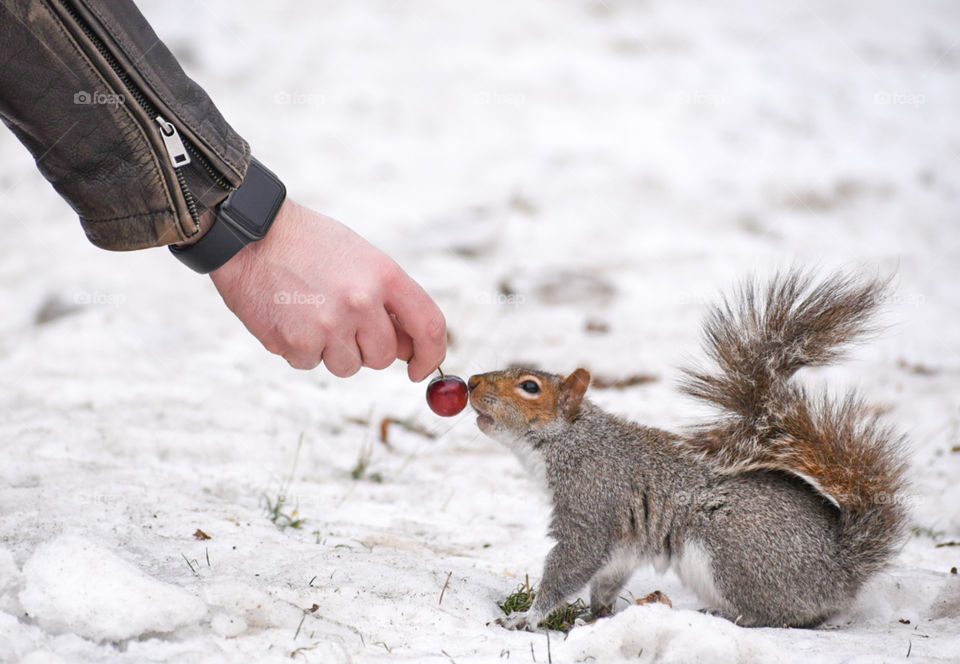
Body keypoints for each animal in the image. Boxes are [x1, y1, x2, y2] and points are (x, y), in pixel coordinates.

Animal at [468, 271, 908, 630]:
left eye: (529, 387)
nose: (471, 382)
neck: (571, 440)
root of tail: (840, 567)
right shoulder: (623, 542)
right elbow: (609, 575)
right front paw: (598, 615)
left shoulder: (593, 499)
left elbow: (574, 560)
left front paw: (528, 618)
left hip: (732, 552)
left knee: (784, 616)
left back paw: (726, 616)